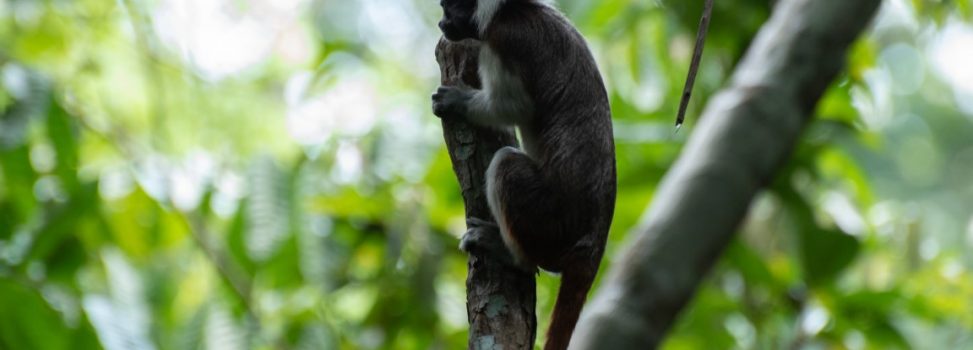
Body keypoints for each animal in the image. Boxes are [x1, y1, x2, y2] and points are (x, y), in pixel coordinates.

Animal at [432, 1, 616, 348]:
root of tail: (592, 244)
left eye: (448, 9)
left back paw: (510, 254)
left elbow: (517, 107)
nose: (441, 24)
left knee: (507, 166)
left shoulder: (504, 39)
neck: (509, 10)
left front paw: (459, 102)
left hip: (549, 220)